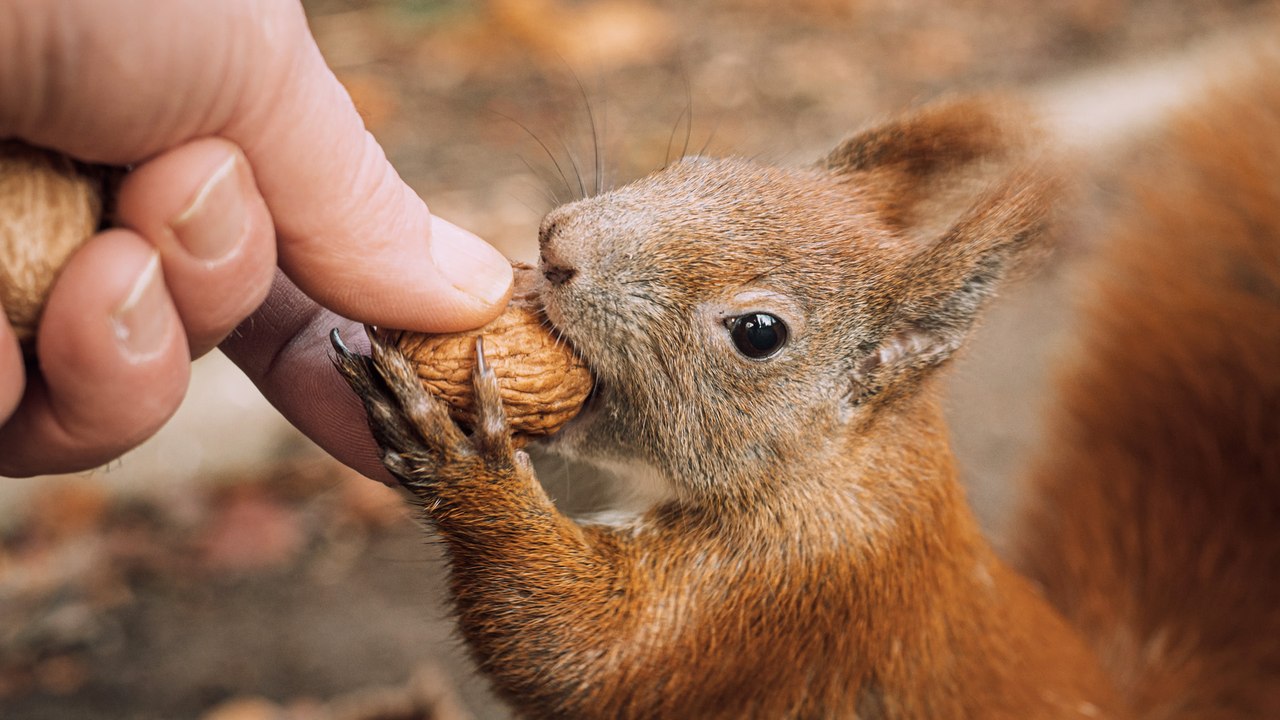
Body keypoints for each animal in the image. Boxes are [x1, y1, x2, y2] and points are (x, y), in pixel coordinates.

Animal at [331, 44, 1280, 719]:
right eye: (697, 166)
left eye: (759, 334)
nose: (556, 245)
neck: (834, 470)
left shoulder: (795, 586)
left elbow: (578, 653)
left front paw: (462, 466)